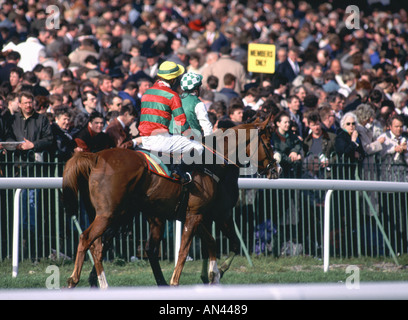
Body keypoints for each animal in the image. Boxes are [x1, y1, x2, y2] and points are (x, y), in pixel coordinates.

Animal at [63, 115, 280, 288]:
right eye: (269, 143)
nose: (276, 169)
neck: (213, 163)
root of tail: (96, 157)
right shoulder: (209, 215)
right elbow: (189, 249)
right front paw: (185, 279)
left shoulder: (195, 215)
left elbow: (211, 242)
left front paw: (211, 274)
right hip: (110, 214)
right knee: (87, 239)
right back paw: (78, 281)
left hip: (122, 215)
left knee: (102, 245)